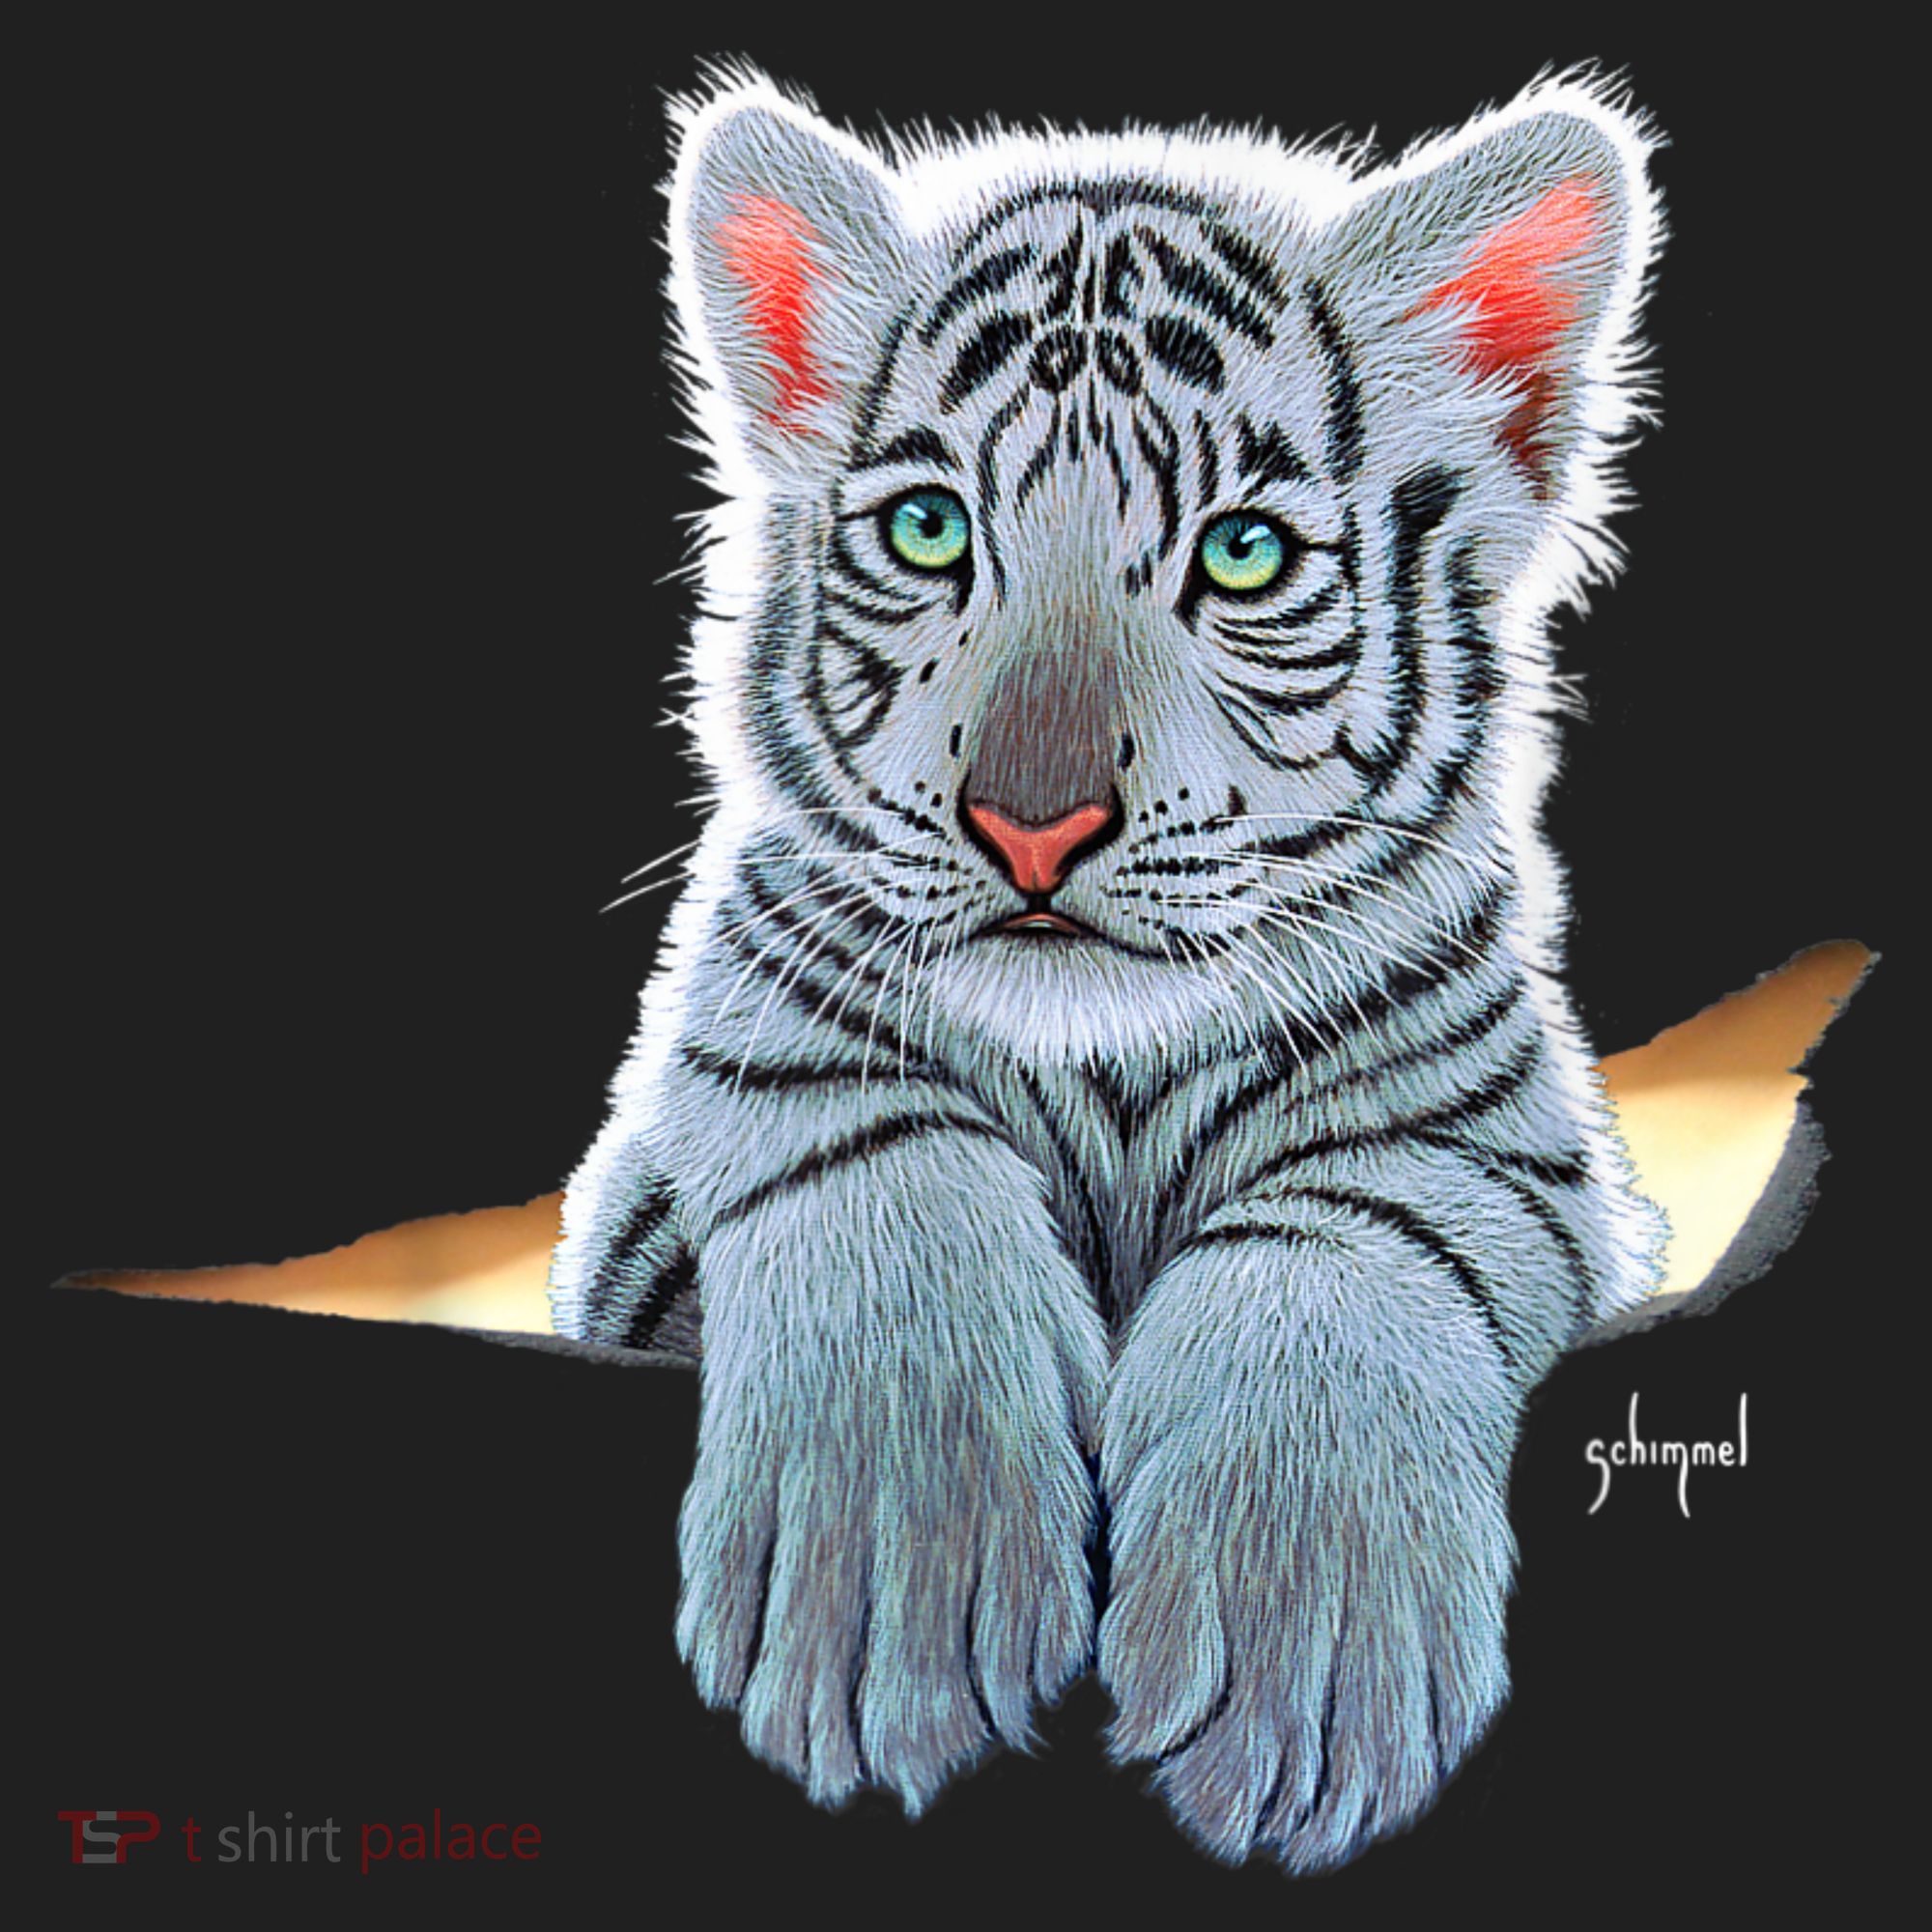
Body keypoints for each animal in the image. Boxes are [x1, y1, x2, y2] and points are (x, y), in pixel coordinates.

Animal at [549, 69, 1668, 1874]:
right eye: (930, 528)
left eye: (1244, 556)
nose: (1032, 827)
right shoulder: (692, 1140)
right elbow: (873, 1157)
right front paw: (890, 1574)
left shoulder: (1510, 1153)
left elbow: (1343, 1235)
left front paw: (1301, 1651)